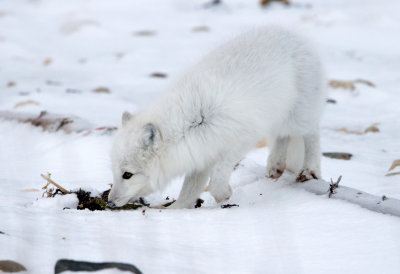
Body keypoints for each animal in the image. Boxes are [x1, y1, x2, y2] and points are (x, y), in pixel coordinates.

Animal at [108, 26, 326, 209]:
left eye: (127, 175)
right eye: (115, 172)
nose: (109, 202)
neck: (187, 123)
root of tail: (296, 35)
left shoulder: (242, 137)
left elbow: (218, 175)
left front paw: (223, 194)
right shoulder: (199, 155)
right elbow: (189, 190)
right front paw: (175, 211)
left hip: (298, 117)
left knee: (312, 134)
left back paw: (310, 170)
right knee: (283, 137)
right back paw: (276, 166)